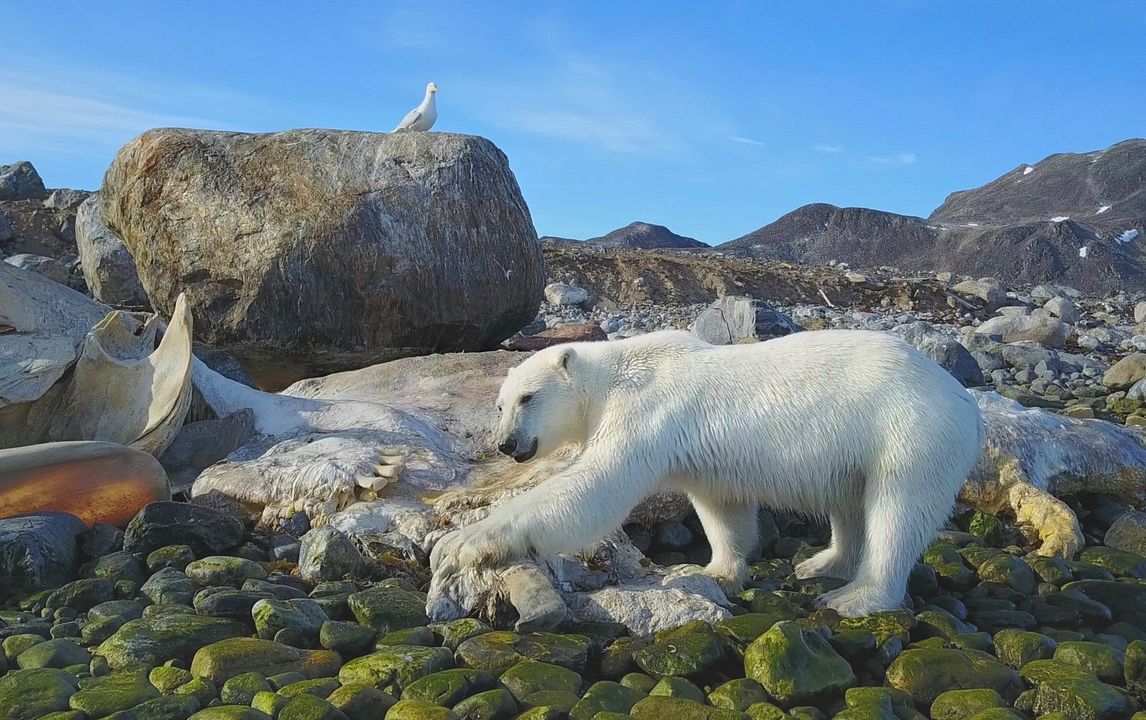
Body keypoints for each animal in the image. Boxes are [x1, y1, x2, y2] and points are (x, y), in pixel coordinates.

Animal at [430, 330, 985, 614]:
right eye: (500, 404)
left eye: (529, 397)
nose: (506, 444)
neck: (611, 375)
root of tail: (963, 398)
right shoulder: (703, 456)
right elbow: (722, 508)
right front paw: (712, 570)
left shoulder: (644, 412)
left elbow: (594, 489)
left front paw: (460, 543)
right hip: (857, 451)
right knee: (849, 502)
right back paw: (822, 563)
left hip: (910, 432)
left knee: (897, 511)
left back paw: (856, 596)